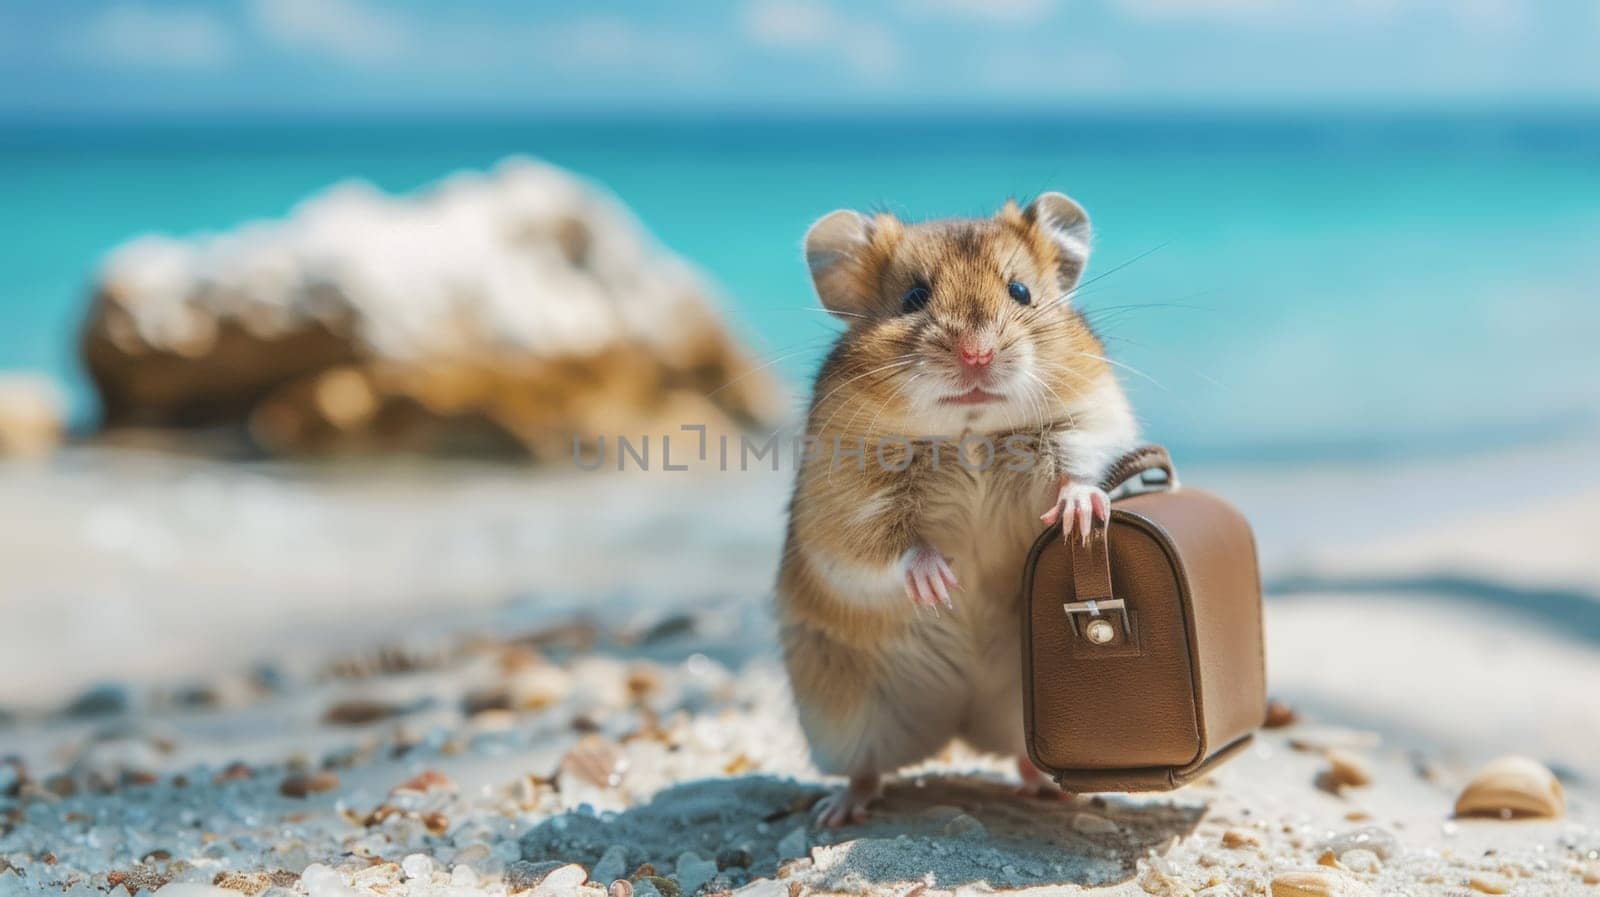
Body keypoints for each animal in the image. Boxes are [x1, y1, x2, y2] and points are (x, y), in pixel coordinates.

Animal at [774, 194, 1139, 825]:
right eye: (913, 297)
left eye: (1020, 291)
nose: (977, 354)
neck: (970, 432)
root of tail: (959, 722)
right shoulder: (843, 503)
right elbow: (886, 550)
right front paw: (942, 584)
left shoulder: (1091, 418)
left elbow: (1080, 466)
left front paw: (1079, 512)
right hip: (842, 717)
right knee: (866, 767)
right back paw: (837, 811)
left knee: (1021, 758)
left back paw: (1057, 792)